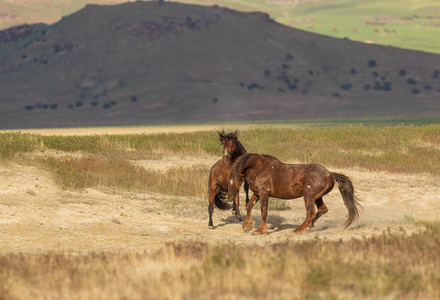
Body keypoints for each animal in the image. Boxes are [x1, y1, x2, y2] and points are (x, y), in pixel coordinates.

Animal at [227, 154, 360, 236]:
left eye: (233, 176)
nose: (229, 197)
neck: (259, 168)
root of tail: (330, 174)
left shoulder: (264, 193)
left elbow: (263, 211)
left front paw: (260, 230)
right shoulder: (258, 193)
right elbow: (249, 206)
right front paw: (247, 226)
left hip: (308, 196)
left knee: (310, 214)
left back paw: (297, 230)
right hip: (317, 197)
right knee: (322, 210)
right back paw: (308, 227)